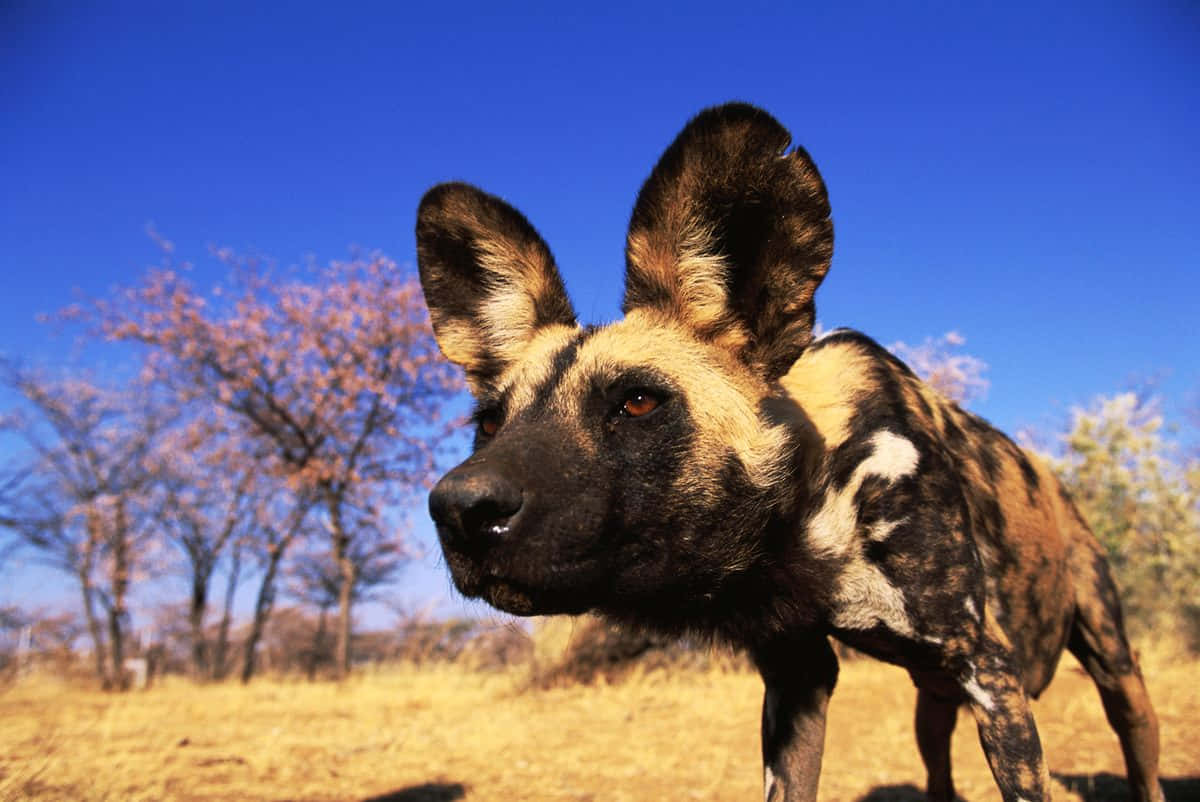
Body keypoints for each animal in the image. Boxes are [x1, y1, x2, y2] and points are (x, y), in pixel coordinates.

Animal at [420, 103, 1161, 802]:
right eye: (490, 423)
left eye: (636, 402)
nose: (458, 509)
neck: (811, 509)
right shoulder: (797, 678)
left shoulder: (987, 668)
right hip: (932, 704)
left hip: (1112, 670)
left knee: (1137, 745)